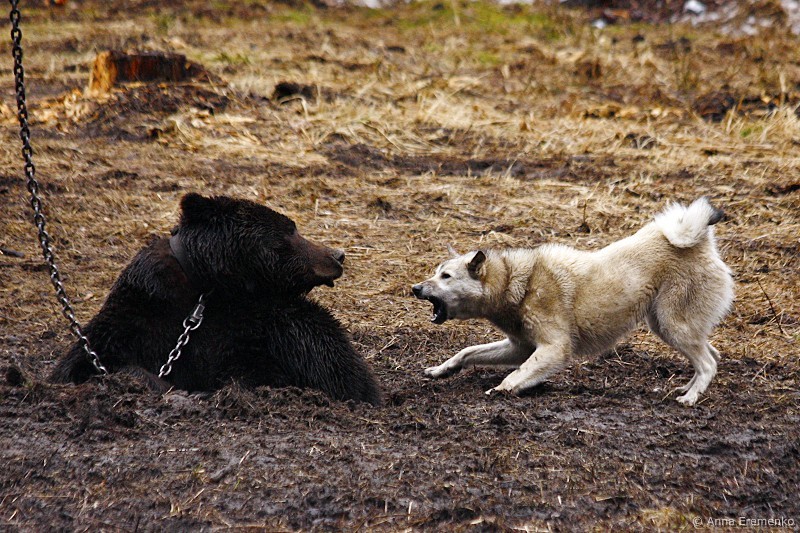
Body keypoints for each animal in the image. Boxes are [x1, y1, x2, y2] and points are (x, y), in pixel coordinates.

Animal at [49, 193, 382, 406]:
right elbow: (85, 364)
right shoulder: (138, 314)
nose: (337, 255)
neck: (208, 289)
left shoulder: (263, 324)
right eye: (290, 230)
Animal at [412, 197, 733, 406]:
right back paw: (688, 388)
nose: (415, 288)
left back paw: (690, 398)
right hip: (668, 327)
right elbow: (467, 352)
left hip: (672, 326)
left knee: (708, 363)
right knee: (713, 356)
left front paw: (502, 389)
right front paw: (441, 370)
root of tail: (700, 242)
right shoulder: (520, 347)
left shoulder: (554, 349)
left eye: (445, 276)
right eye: (436, 272)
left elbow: (518, 373)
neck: (517, 283)